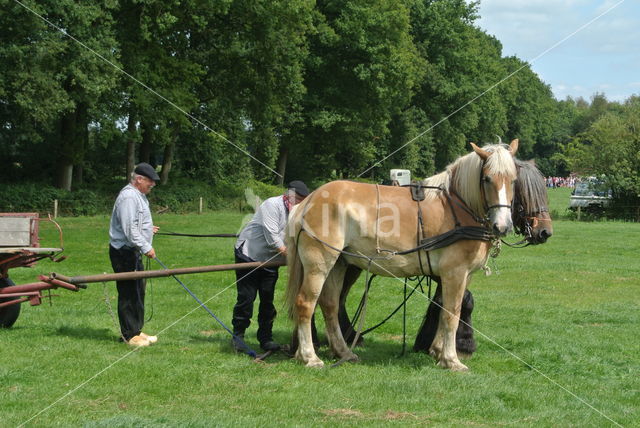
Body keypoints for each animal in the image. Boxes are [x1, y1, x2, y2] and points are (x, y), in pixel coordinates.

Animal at [284, 140, 520, 372]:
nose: (503, 226)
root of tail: (308, 201)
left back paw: (343, 352)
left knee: (330, 304)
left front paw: (438, 352)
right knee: (306, 303)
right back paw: (309, 357)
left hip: (339, 264)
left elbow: (445, 308)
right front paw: (451, 359)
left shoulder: (462, 275)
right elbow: (451, 313)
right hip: (319, 263)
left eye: (513, 180)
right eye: (487, 179)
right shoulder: (455, 273)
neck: (459, 206)